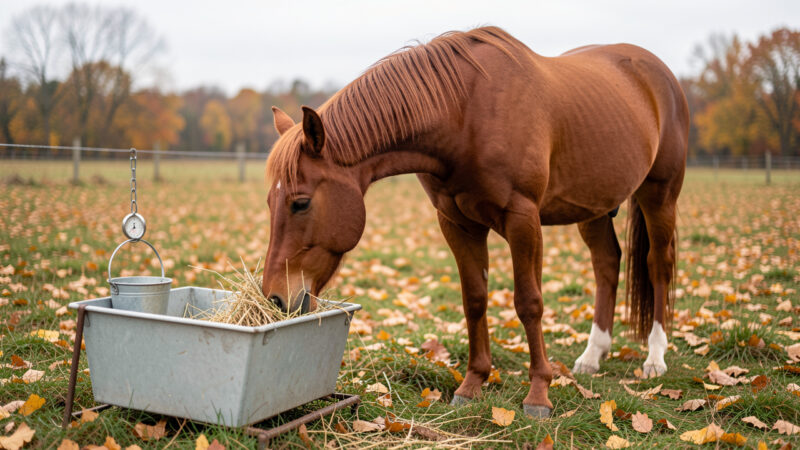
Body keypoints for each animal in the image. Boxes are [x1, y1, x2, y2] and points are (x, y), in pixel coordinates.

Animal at [261, 26, 688, 418]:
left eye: (300, 203)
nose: (275, 298)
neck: (465, 114)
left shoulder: (523, 218)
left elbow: (529, 302)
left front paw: (538, 394)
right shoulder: (456, 223)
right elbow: (475, 300)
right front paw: (472, 385)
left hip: (659, 196)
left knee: (658, 266)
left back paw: (654, 358)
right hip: (595, 208)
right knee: (606, 263)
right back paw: (592, 355)